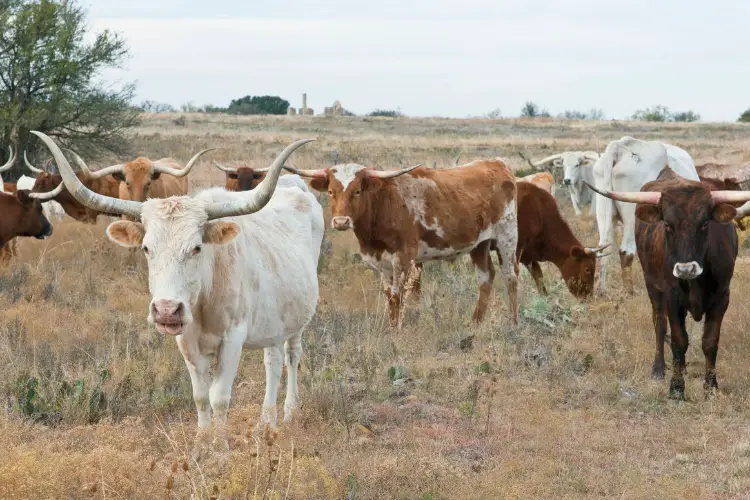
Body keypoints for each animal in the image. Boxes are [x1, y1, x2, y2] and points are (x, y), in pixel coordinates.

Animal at [34, 131, 326, 458]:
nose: (166, 310)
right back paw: (267, 421)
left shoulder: (233, 338)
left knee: (291, 356)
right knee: (272, 362)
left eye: (197, 247)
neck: (204, 297)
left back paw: (288, 414)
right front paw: (200, 448)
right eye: (146, 248)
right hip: (272, 320)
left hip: (297, 321)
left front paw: (221, 451)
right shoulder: (185, 340)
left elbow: (220, 396)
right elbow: (200, 396)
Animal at [284, 158, 520, 326]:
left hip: (507, 238)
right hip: (479, 244)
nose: (341, 221)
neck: (383, 204)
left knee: (511, 277)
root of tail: (498, 164)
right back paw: (475, 323)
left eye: (357, 191)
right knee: (486, 277)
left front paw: (396, 331)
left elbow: (398, 296)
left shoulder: (403, 259)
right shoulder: (382, 263)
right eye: (331, 192)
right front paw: (391, 328)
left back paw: (513, 322)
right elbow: (390, 296)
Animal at [588, 170, 750, 400]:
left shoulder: (722, 298)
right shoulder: (672, 299)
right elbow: (678, 341)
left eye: (705, 224)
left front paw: (710, 387)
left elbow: (710, 341)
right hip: (653, 287)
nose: (685, 269)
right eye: (667, 224)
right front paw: (676, 388)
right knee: (659, 324)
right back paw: (659, 368)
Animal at [592, 135, 704, 294]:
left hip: (603, 212)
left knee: (603, 249)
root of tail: (619, 148)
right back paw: (630, 292)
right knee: (626, 251)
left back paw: (601, 291)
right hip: (632, 216)